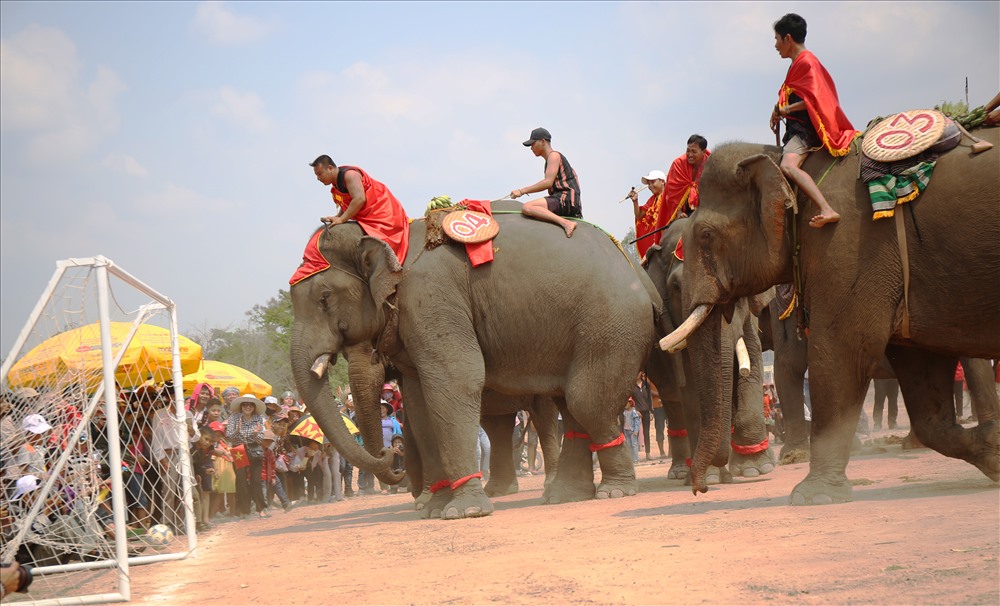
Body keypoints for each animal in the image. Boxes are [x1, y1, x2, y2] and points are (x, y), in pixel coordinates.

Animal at [292, 201, 664, 524]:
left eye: (324, 298)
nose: (389, 457)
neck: (394, 239)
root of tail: (635, 268)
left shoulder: (432, 297)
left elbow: (456, 379)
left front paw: (464, 512)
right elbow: (419, 403)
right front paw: (434, 511)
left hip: (611, 322)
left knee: (583, 400)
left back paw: (613, 492)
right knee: (568, 405)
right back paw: (565, 496)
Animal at [644, 216, 776, 486]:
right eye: (676, 286)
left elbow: (752, 360)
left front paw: (755, 469)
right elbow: (691, 384)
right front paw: (712, 476)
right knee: (672, 399)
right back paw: (681, 472)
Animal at [664, 129, 1000, 508]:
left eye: (706, 235)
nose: (701, 488)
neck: (778, 159)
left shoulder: (848, 246)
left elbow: (838, 351)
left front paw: (812, 494)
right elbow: (920, 372)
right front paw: (994, 451)